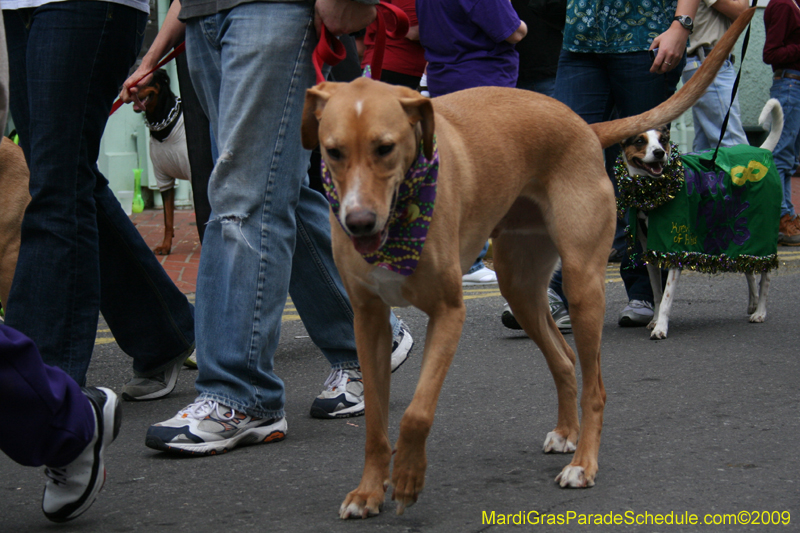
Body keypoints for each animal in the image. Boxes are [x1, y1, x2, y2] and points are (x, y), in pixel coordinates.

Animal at [300, 8, 752, 516]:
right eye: (333, 151)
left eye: (385, 147)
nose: (358, 223)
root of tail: (585, 127)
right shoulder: (368, 319)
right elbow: (376, 422)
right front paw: (368, 491)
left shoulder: (448, 313)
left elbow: (416, 412)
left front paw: (409, 476)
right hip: (519, 285)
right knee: (564, 358)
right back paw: (567, 433)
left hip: (582, 283)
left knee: (594, 386)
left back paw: (583, 463)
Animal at [620, 97, 780, 338]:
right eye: (640, 140)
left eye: (663, 140)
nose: (659, 153)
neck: (652, 192)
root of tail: (763, 152)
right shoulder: (651, 249)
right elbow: (657, 293)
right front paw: (655, 319)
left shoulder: (674, 248)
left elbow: (666, 298)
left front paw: (661, 327)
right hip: (740, 236)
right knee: (749, 270)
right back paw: (753, 303)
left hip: (762, 232)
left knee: (766, 276)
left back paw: (760, 311)